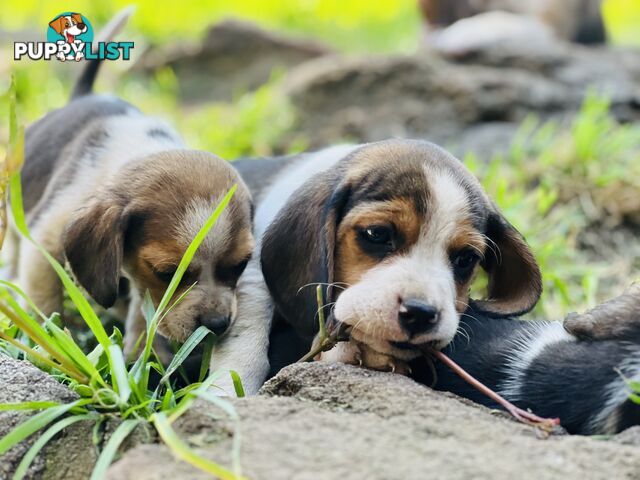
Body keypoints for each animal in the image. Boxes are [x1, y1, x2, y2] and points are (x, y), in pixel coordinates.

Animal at [6, 12, 255, 352]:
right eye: (167, 273)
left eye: (241, 264)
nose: (216, 325)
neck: (143, 150)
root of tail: (83, 95)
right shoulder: (45, 241)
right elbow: (44, 300)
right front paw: (48, 342)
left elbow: (142, 311)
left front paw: (141, 355)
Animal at [212, 140, 636, 436]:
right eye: (377, 234)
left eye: (465, 259)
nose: (420, 314)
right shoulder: (250, 272)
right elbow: (248, 327)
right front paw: (224, 390)